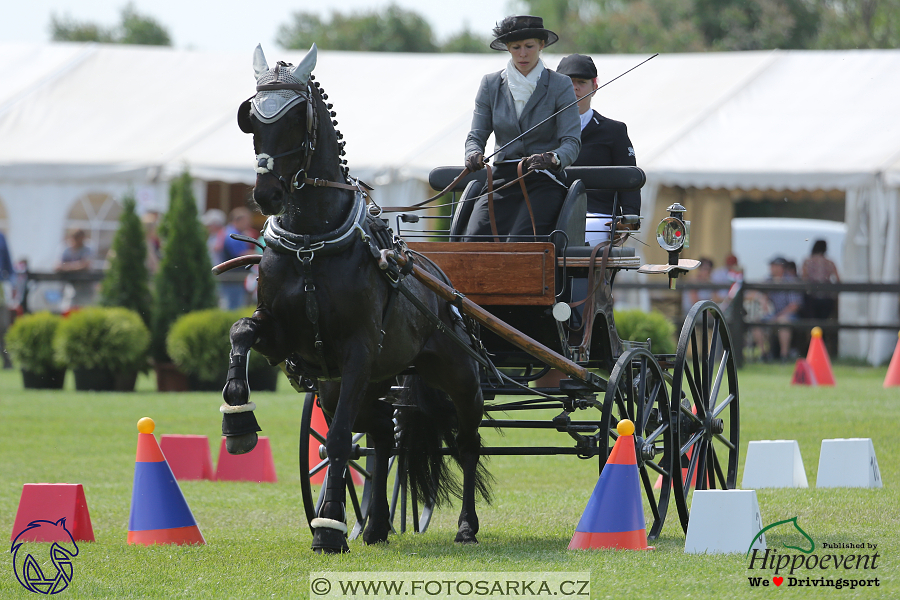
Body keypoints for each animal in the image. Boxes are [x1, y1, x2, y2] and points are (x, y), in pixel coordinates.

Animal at [225, 44, 492, 556]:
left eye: (296, 118)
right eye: (252, 118)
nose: (267, 194)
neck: (312, 245)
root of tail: (441, 281)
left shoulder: (359, 351)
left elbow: (340, 441)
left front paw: (328, 527)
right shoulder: (286, 341)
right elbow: (241, 332)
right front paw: (238, 422)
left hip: (457, 377)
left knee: (467, 444)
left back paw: (466, 525)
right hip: (360, 382)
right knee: (384, 437)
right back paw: (376, 525)